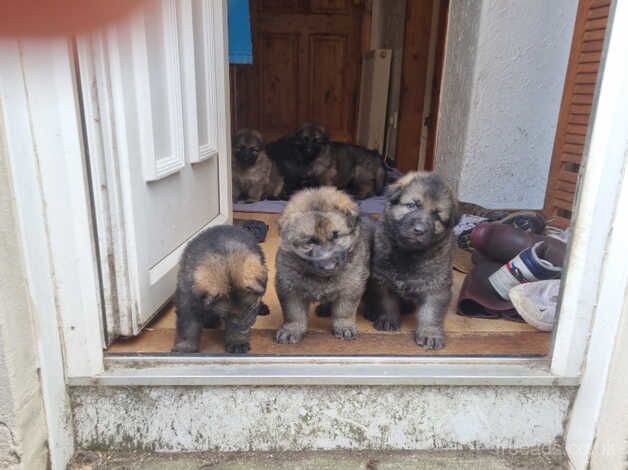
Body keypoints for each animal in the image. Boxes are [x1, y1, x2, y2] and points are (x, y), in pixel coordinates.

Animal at [274, 185, 372, 344]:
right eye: (309, 242)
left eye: (336, 236)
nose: (329, 267)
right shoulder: (288, 286)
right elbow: (293, 312)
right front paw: (292, 329)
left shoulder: (352, 285)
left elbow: (344, 310)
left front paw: (344, 326)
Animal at [364, 173, 456, 348]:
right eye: (412, 205)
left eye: (436, 215)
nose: (419, 230)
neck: (408, 253)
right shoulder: (382, 279)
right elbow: (386, 303)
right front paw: (387, 320)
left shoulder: (437, 286)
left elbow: (431, 312)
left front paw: (430, 334)